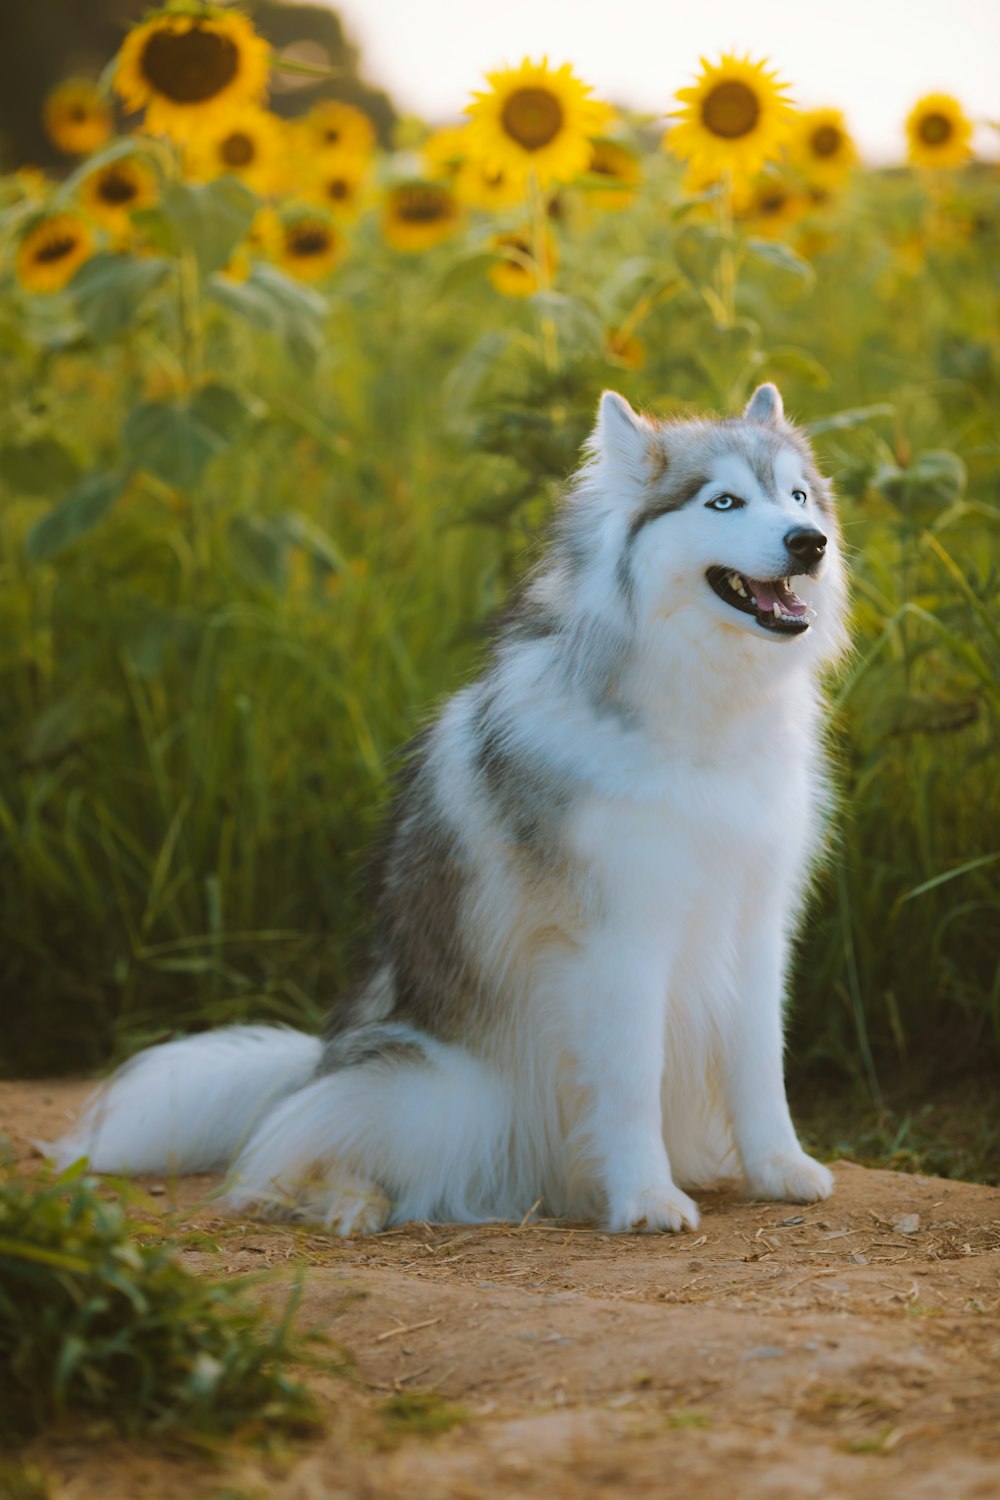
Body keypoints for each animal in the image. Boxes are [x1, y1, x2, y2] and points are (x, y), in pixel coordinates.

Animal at [54, 384, 851, 1230]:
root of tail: (323, 1055)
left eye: (797, 496)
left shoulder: (757, 925)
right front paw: (644, 1196)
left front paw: (780, 1167)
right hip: (442, 1096)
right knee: (298, 1143)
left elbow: (761, 1065)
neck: (704, 712)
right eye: (723, 501)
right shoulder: (621, 938)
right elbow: (632, 1078)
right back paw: (347, 1200)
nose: (809, 543)